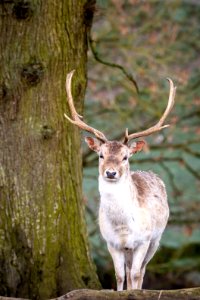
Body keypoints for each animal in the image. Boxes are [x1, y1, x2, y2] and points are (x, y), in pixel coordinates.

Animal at [64, 70, 177, 290]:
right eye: (101, 155)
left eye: (125, 157)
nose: (110, 173)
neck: (123, 226)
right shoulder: (112, 242)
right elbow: (119, 275)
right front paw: (121, 291)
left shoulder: (143, 240)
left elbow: (135, 274)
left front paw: (134, 292)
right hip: (129, 249)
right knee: (129, 270)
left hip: (156, 239)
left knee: (141, 271)